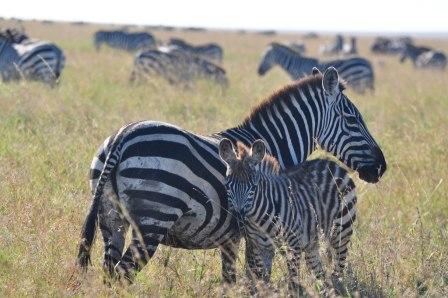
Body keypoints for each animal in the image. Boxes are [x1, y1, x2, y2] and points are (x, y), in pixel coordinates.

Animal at [79, 67, 386, 284]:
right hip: (153, 218)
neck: (271, 145)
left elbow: (231, 279)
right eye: (352, 120)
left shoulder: (231, 237)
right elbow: (257, 277)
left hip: (111, 219)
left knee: (109, 271)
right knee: (123, 274)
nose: (382, 167)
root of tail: (123, 136)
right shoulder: (258, 231)